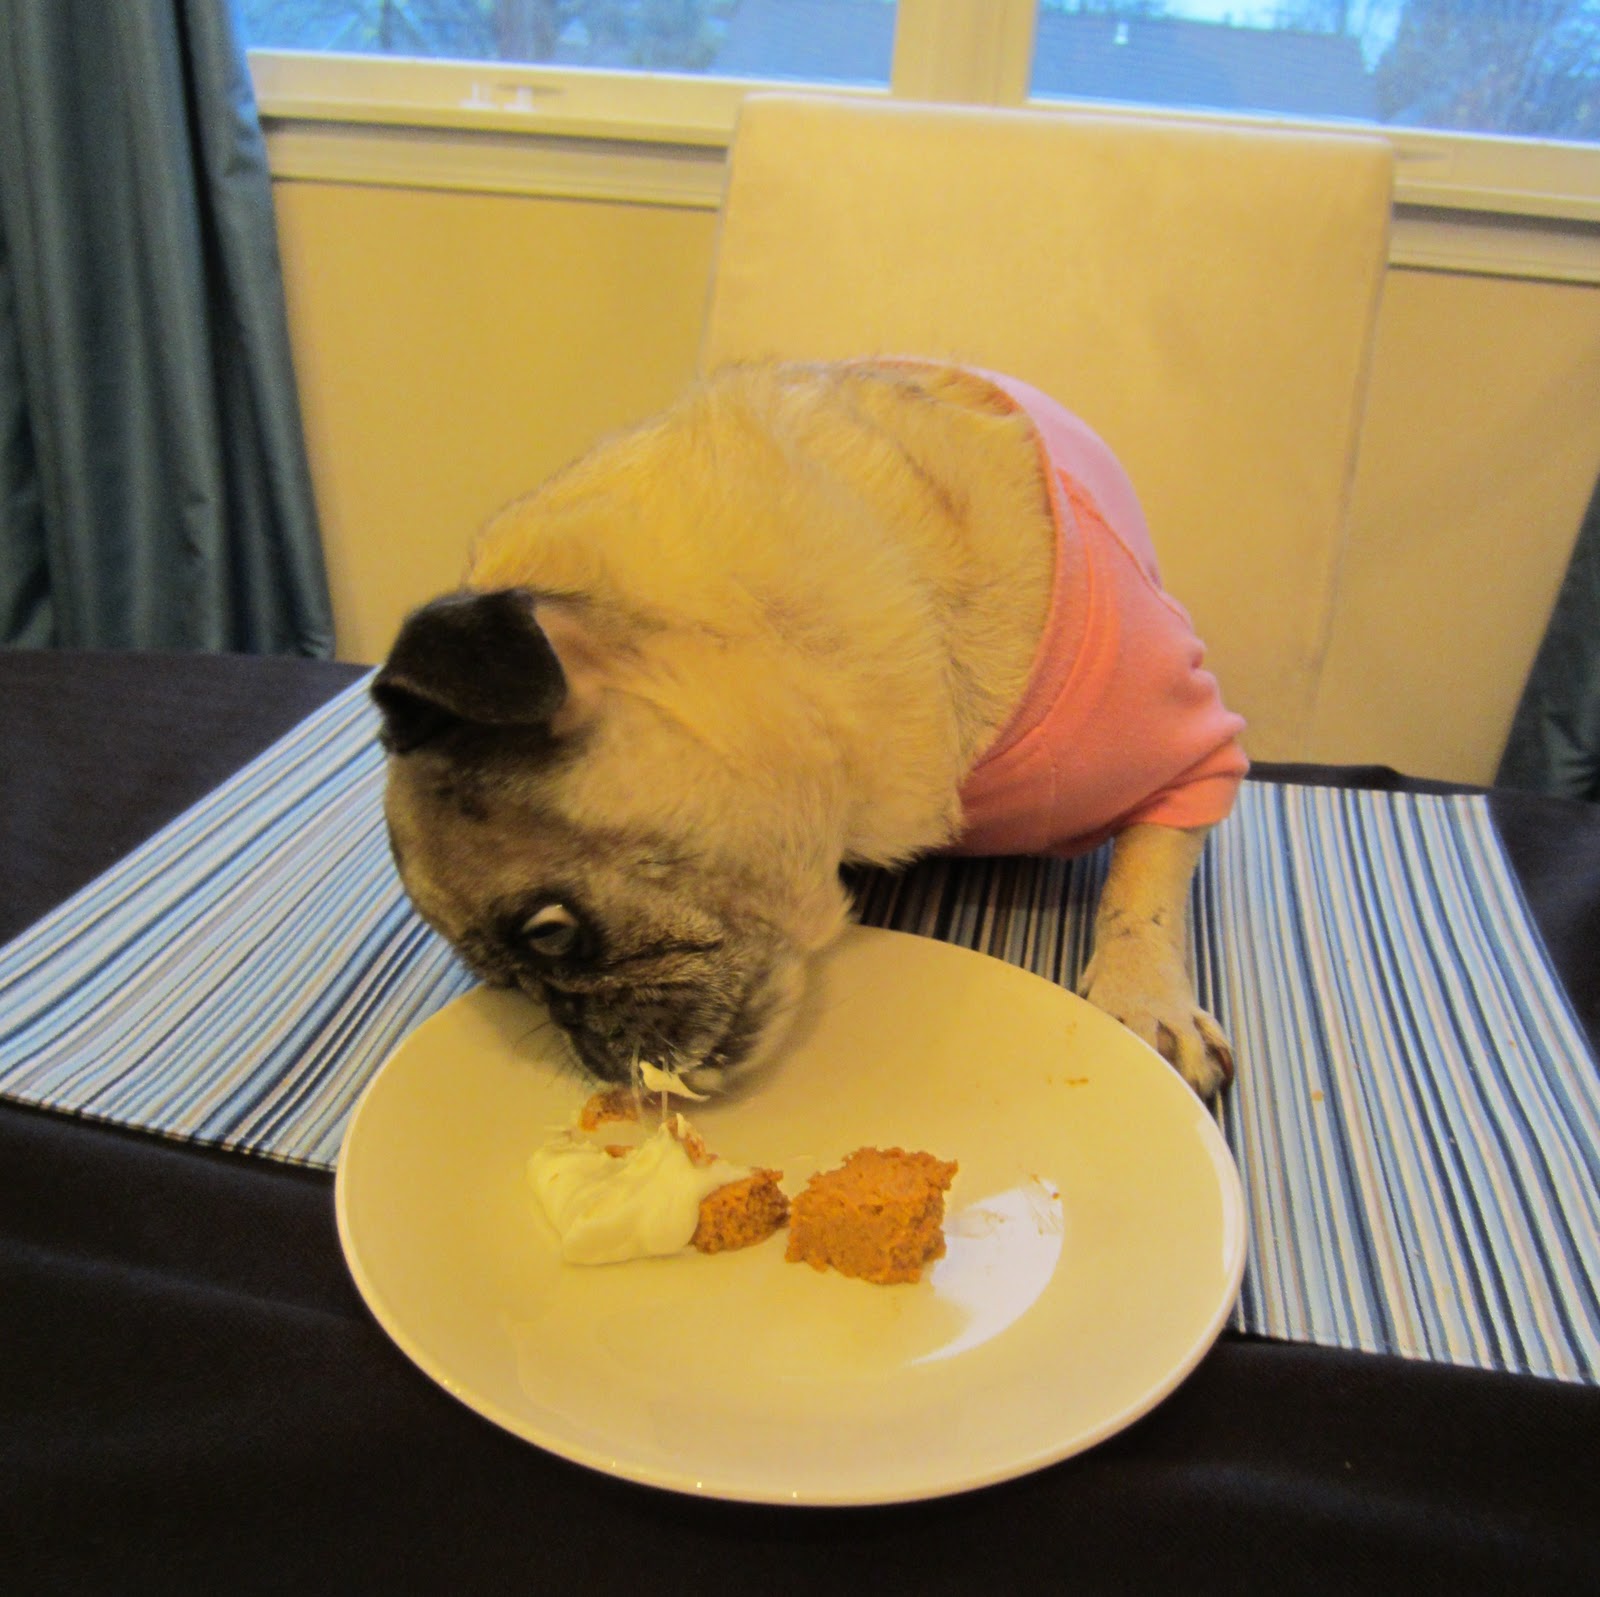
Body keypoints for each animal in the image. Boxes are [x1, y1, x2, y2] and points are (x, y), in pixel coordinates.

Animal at [372, 360, 1245, 1099]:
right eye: (512, 989)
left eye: (551, 934)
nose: (584, 1047)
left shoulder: (1194, 748)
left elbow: (1147, 879)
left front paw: (1144, 992)